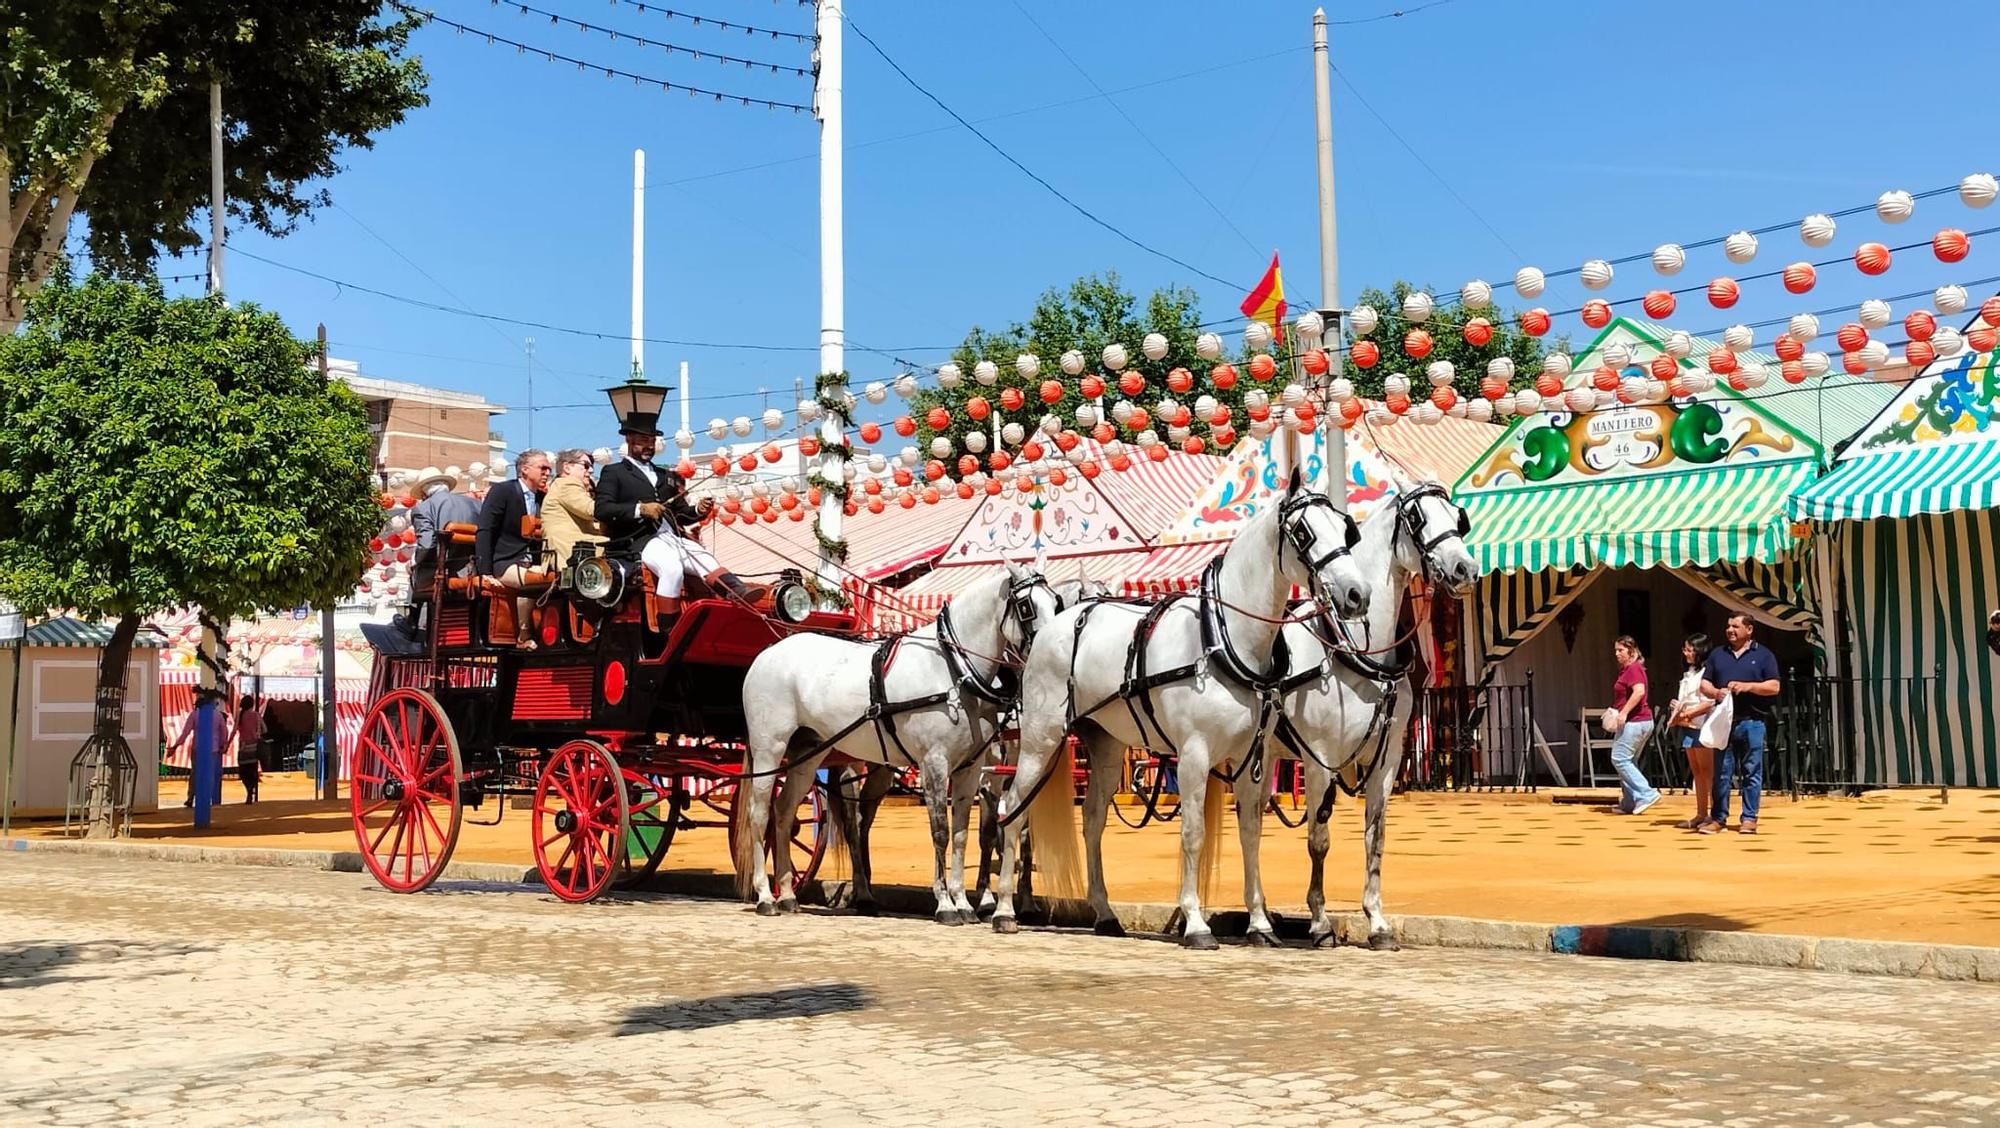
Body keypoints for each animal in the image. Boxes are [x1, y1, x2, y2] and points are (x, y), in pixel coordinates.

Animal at [740, 568, 1064, 920]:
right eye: (1026, 606)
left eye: (1056, 602)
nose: (1051, 648)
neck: (953, 669)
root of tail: (768, 653)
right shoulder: (935, 763)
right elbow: (941, 832)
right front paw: (945, 904)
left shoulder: (971, 768)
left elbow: (962, 834)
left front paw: (964, 902)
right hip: (769, 749)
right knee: (760, 813)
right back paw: (765, 896)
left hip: (810, 753)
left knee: (785, 811)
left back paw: (787, 894)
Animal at [988, 472, 1376, 948]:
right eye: (1303, 532)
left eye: (1345, 529)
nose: (1357, 594)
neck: (1223, 638)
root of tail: (1050, 629)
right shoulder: (1193, 755)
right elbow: (1192, 834)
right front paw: (1195, 922)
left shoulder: (1251, 759)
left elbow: (1250, 834)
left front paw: (1260, 923)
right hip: (1040, 739)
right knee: (1012, 808)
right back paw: (1005, 909)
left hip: (1105, 745)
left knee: (1093, 821)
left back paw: (1104, 913)